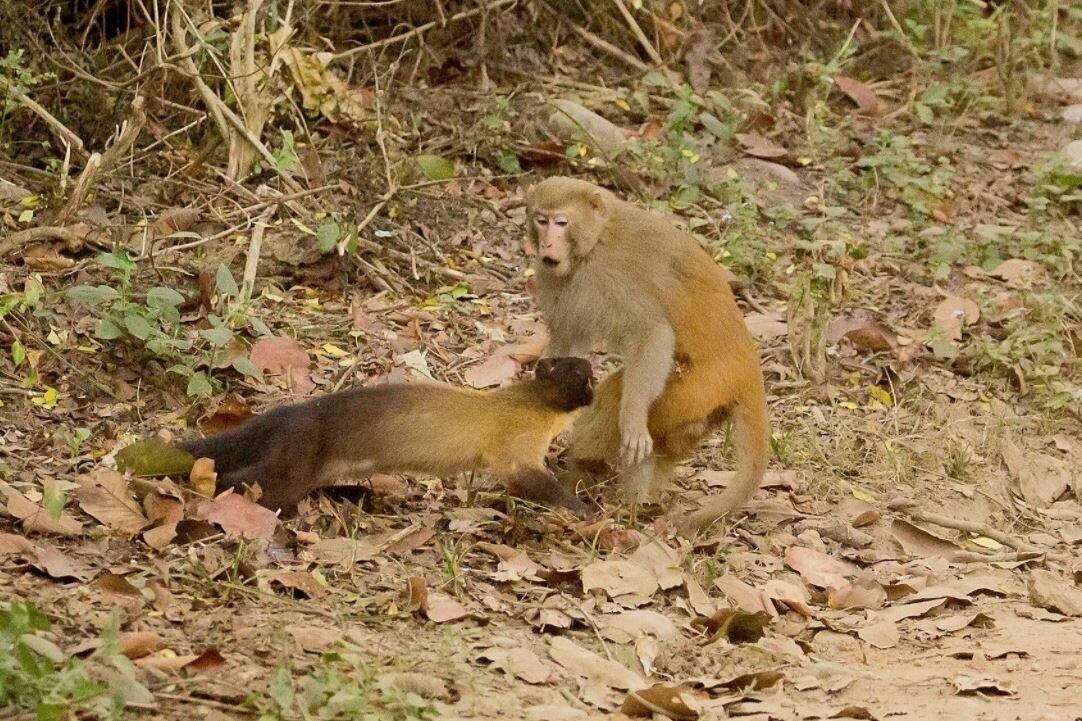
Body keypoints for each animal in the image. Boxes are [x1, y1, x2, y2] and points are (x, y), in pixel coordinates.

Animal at [181, 357, 597, 513]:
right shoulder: (517, 445)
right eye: (582, 373)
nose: (594, 384)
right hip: (294, 458)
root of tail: (290, 411)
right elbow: (533, 480)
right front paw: (584, 508)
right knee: (241, 479)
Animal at [525, 176, 770, 530]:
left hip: (697, 389)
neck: (598, 238)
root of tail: (749, 371)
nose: (546, 246)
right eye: (540, 221)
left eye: (561, 223)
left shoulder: (610, 274)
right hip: (706, 404)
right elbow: (568, 337)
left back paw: (586, 476)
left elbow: (651, 334)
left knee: (618, 396)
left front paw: (632, 420)